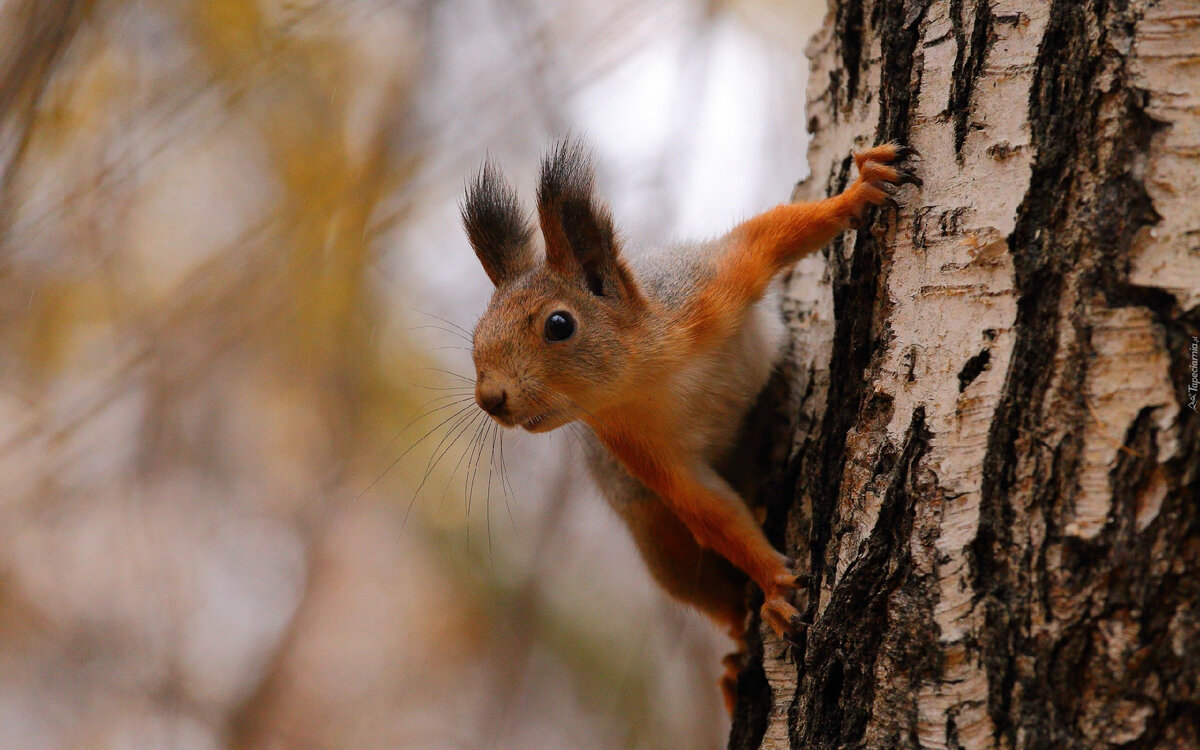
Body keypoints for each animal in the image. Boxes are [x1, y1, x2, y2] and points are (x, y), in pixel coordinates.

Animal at [458, 140, 916, 705]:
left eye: (559, 324)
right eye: (478, 334)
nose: (490, 398)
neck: (650, 372)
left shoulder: (709, 288)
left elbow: (774, 234)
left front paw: (857, 191)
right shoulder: (635, 443)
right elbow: (706, 508)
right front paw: (773, 586)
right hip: (663, 547)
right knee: (718, 602)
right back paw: (735, 661)